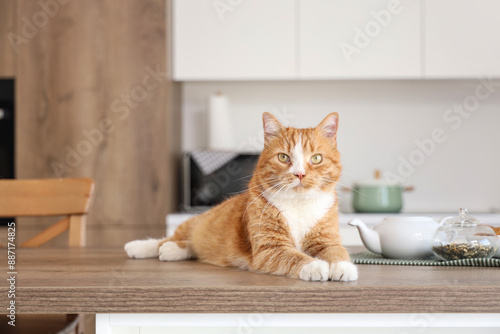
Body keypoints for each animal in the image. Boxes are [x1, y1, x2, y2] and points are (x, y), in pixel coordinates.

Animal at [125, 113, 360, 282]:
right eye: (284, 157)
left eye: (317, 158)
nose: (300, 174)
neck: (298, 204)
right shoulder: (270, 249)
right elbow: (293, 256)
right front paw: (315, 265)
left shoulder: (326, 240)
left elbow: (337, 251)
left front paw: (343, 267)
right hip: (195, 223)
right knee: (169, 238)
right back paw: (141, 247)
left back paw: (173, 250)